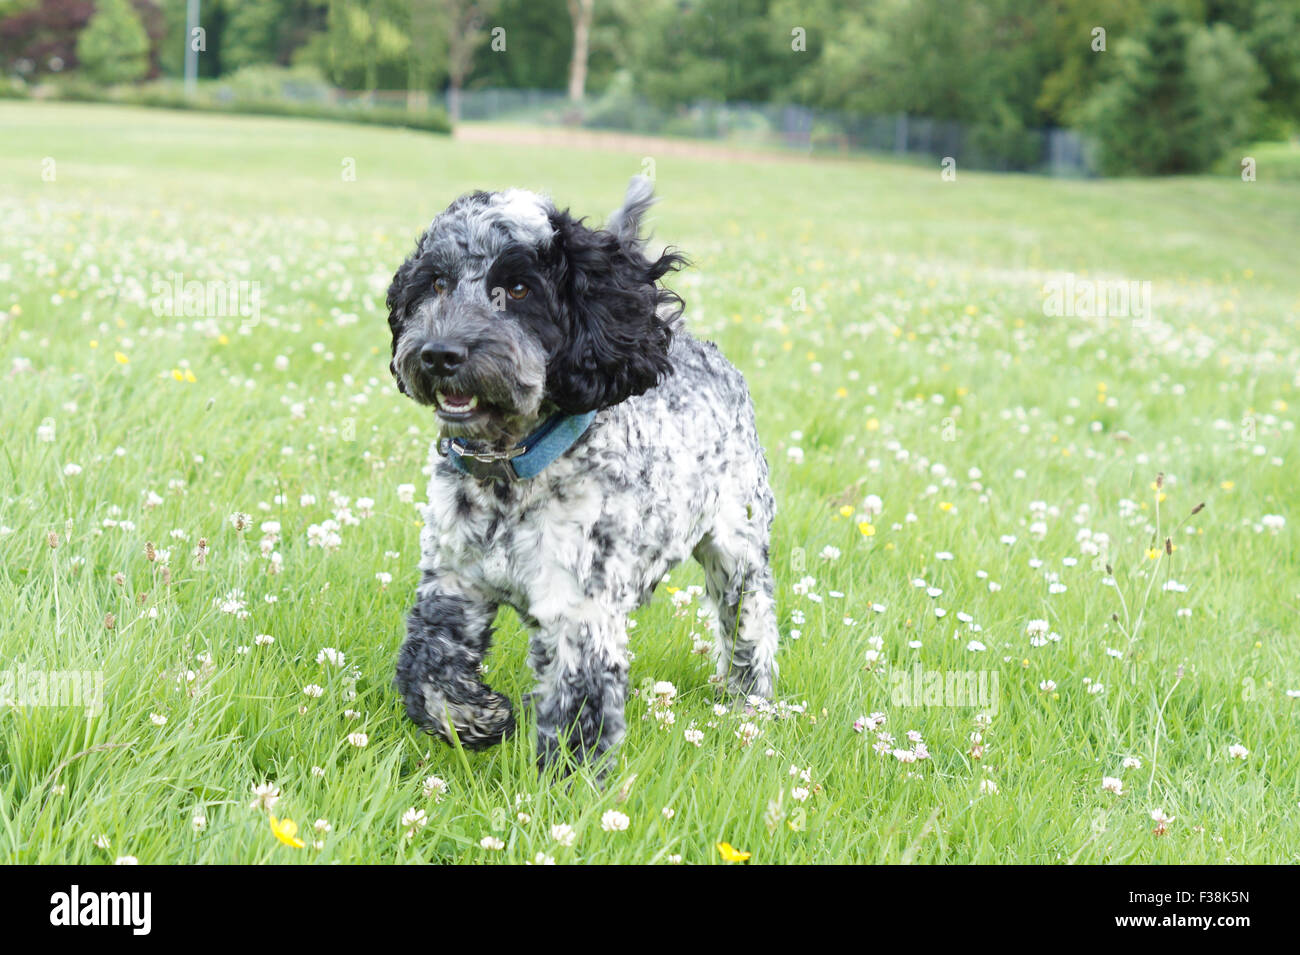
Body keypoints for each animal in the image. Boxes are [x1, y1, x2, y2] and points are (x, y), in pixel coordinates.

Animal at [379, 178, 774, 779]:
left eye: (519, 289)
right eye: (437, 283)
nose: (439, 353)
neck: (510, 476)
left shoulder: (579, 614)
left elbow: (577, 721)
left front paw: (566, 790)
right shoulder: (451, 582)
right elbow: (428, 678)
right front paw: (485, 718)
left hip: (737, 549)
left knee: (752, 626)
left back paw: (751, 704)